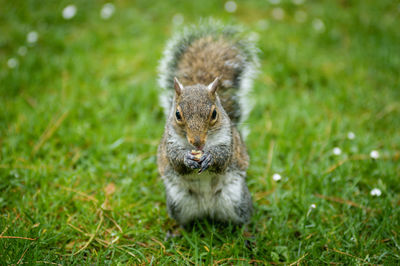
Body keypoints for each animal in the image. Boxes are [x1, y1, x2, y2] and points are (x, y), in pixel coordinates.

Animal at [156, 19, 260, 228]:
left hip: (236, 199)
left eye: (214, 114)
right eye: (177, 114)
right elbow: (175, 159)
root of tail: (207, 209)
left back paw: (247, 232)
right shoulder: (170, 142)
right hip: (178, 202)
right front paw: (187, 158)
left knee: (243, 219)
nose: (197, 142)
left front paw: (209, 158)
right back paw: (177, 231)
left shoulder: (228, 140)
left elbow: (223, 157)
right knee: (183, 222)